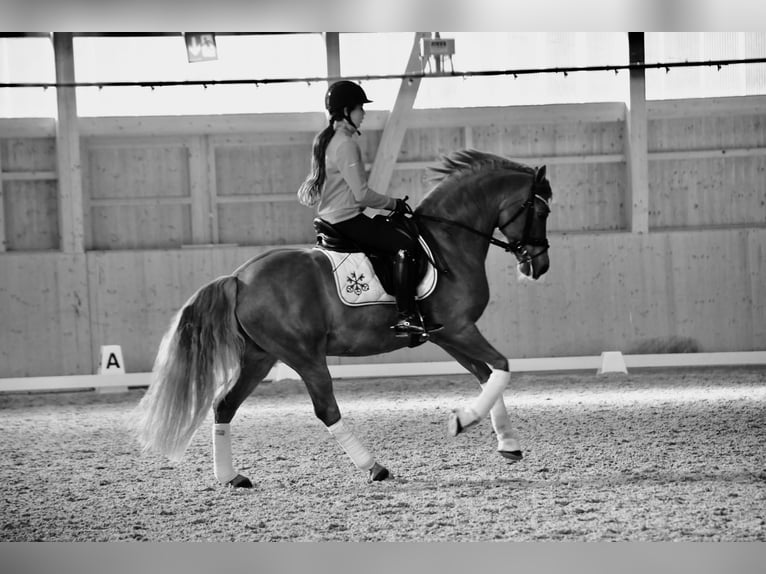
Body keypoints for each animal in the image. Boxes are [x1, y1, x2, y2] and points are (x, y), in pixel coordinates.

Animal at [134, 148, 552, 486]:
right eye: (541, 209)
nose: (539, 265)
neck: (447, 240)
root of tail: (239, 277)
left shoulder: (447, 333)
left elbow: (486, 375)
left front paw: (507, 443)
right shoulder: (460, 328)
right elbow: (502, 367)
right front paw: (464, 421)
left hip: (260, 357)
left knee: (225, 405)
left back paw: (231, 477)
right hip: (304, 356)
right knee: (326, 409)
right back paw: (374, 467)